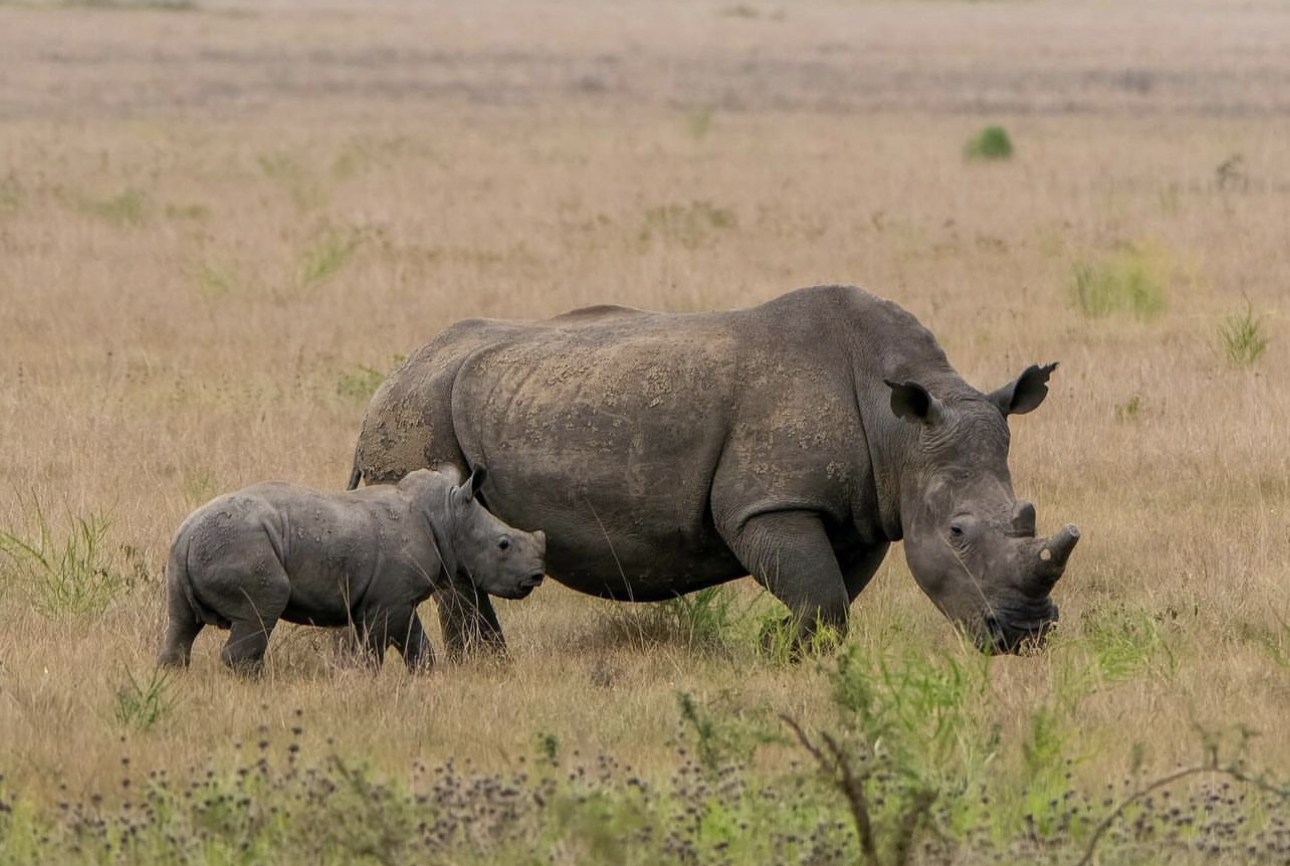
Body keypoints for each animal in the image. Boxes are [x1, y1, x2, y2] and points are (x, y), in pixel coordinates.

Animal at [159, 467, 544, 676]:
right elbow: (375, 650)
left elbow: (417, 645)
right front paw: (367, 679)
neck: (448, 517)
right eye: (504, 544)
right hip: (241, 546)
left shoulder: (391, 600)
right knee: (261, 611)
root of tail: (187, 537)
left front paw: (426, 676)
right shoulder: (389, 602)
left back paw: (174, 675)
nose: (536, 577)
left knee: (181, 624)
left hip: (185, 555)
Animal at [350, 283, 1078, 658]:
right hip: (419, 409)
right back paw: (486, 666)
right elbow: (823, 595)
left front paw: (784, 651)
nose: (1024, 637)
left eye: (1026, 516)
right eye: (957, 534)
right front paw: (782, 655)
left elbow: (832, 597)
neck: (898, 428)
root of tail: (389, 379)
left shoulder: (866, 510)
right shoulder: (771, 502)